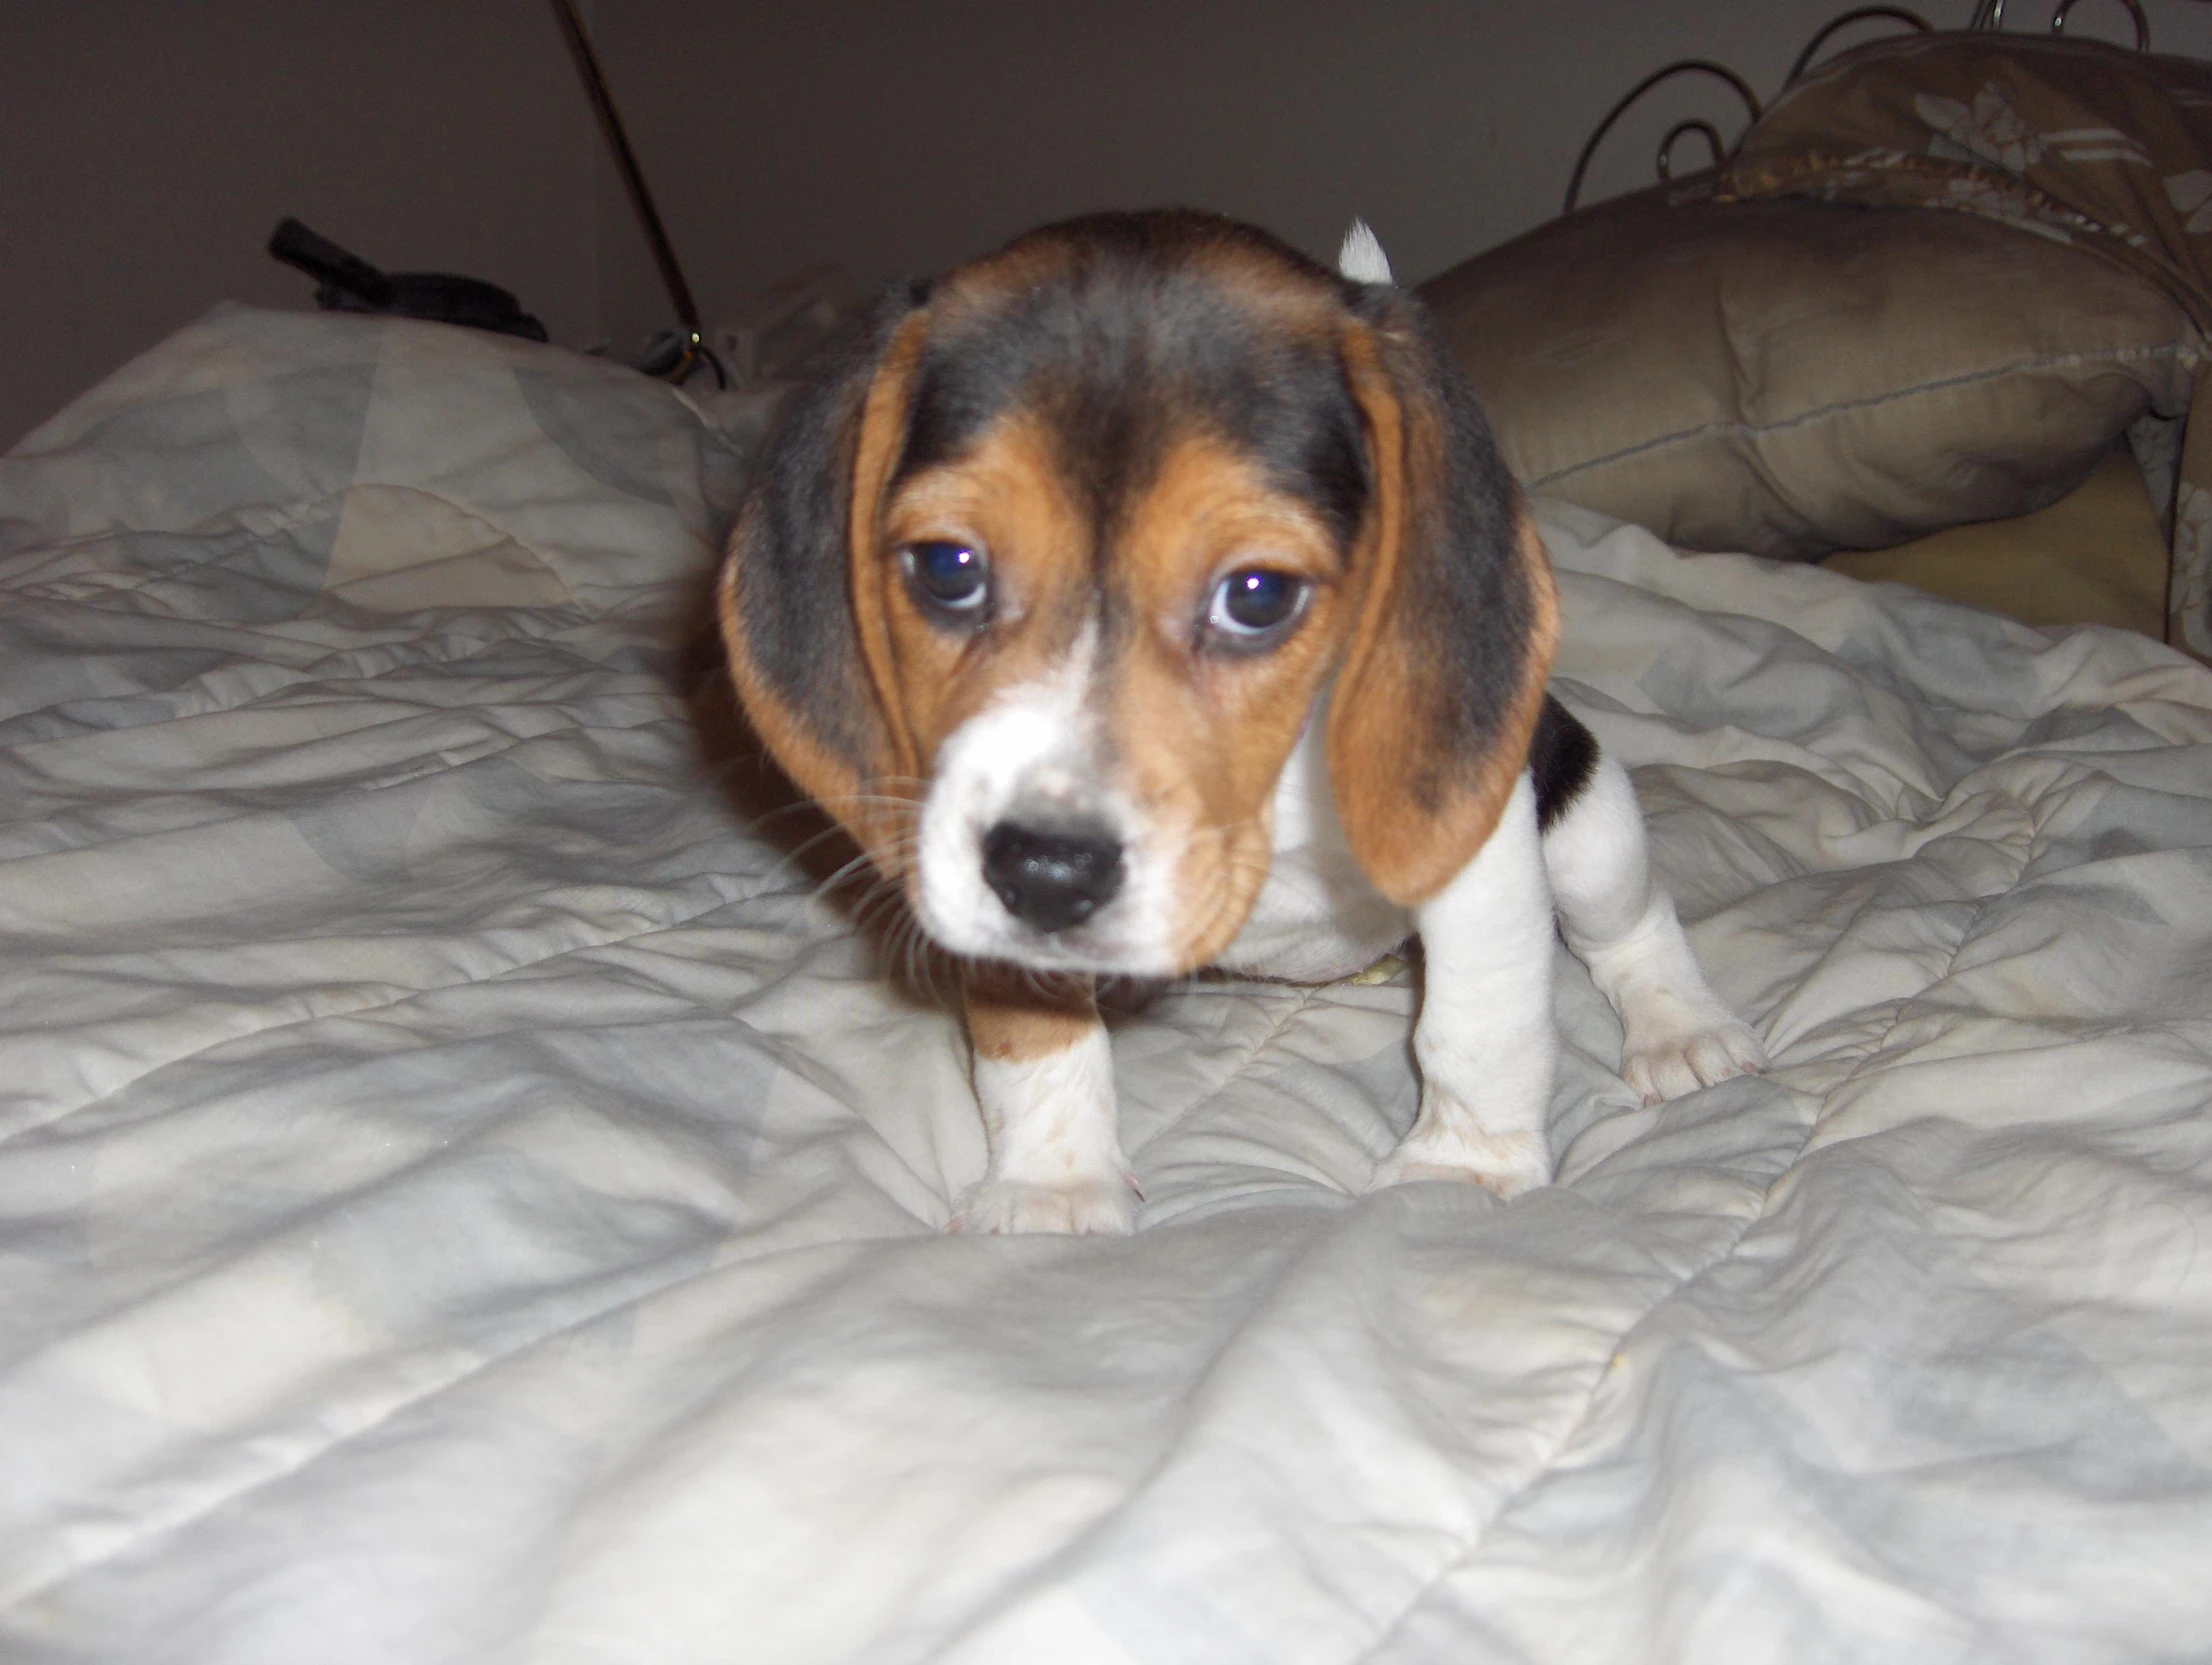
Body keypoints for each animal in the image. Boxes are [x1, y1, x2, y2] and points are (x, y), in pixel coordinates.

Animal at [721, 207, 1760, 1229]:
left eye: (1258, 594)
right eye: (947, 568)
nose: (1047, 874)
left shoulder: (1485, 861)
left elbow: (1476, 1025)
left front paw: (1462, 1170)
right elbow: (1035, 1035)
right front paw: (1053, 1180)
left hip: (1588, 826)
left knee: (1630, 924)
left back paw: (1681, 1029)